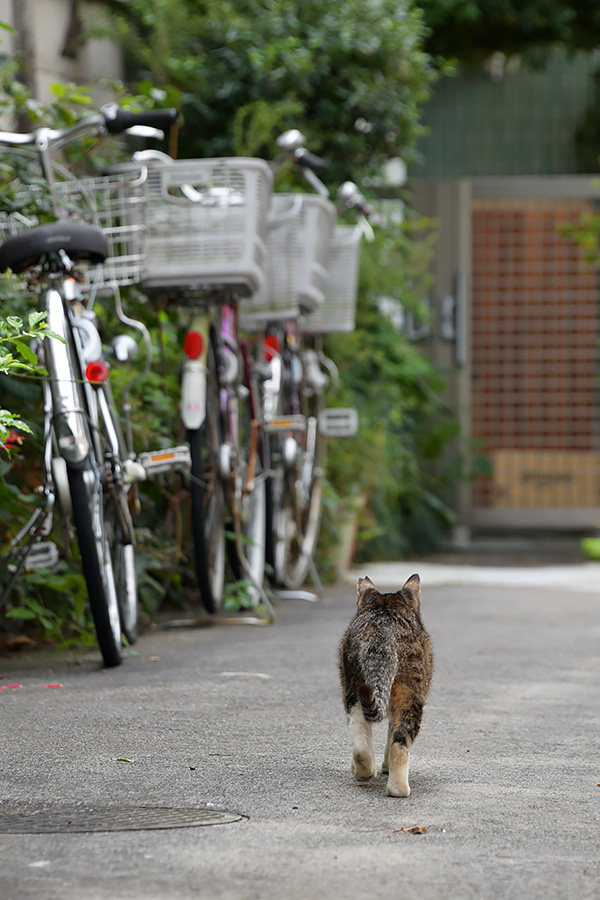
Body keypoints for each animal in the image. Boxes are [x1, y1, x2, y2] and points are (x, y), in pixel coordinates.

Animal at [338, 572, 432, 800]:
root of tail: (380, 632)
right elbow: (391, 736)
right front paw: (386, 766)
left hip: (354, 690)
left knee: (360, 739)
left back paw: (364, 770)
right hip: (411, 696)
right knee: (400, 743)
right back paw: (398, 789)